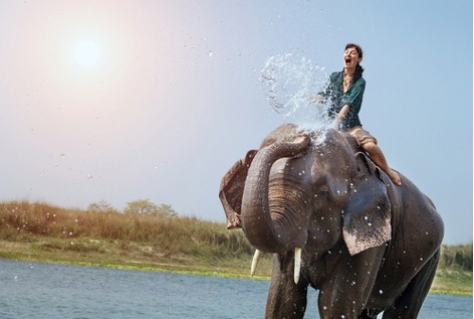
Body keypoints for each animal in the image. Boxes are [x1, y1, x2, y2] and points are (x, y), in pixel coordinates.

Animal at [218, 124, 444, 319]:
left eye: (322, 192)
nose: (303, 136)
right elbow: (283, 301)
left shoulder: (371, 235)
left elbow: (334, 304)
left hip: (429, 260)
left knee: (401, 311)